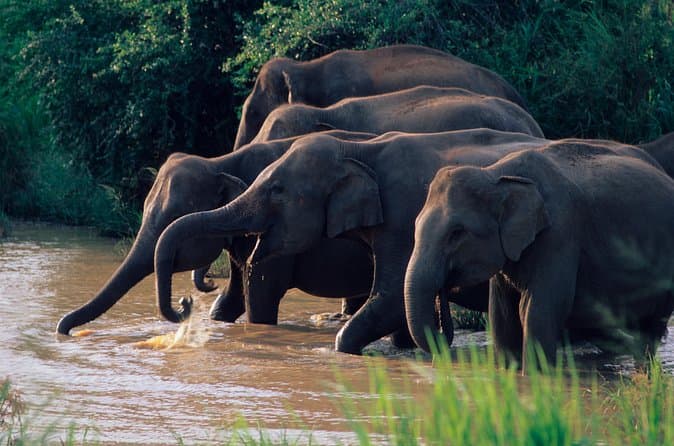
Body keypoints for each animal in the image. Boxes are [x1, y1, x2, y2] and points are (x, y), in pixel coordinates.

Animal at [56, 130, 377, 336]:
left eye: (173, 217)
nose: (185, 303)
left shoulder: (277, 226)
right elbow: (232, 295)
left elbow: (261, 294)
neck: (219, 162)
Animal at [405, 139, 674, 370]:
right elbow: (503, 318)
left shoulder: (560, 234)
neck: (496, 174)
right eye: (415, 225)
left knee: (650, 328)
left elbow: (537, 311)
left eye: (456, 233)